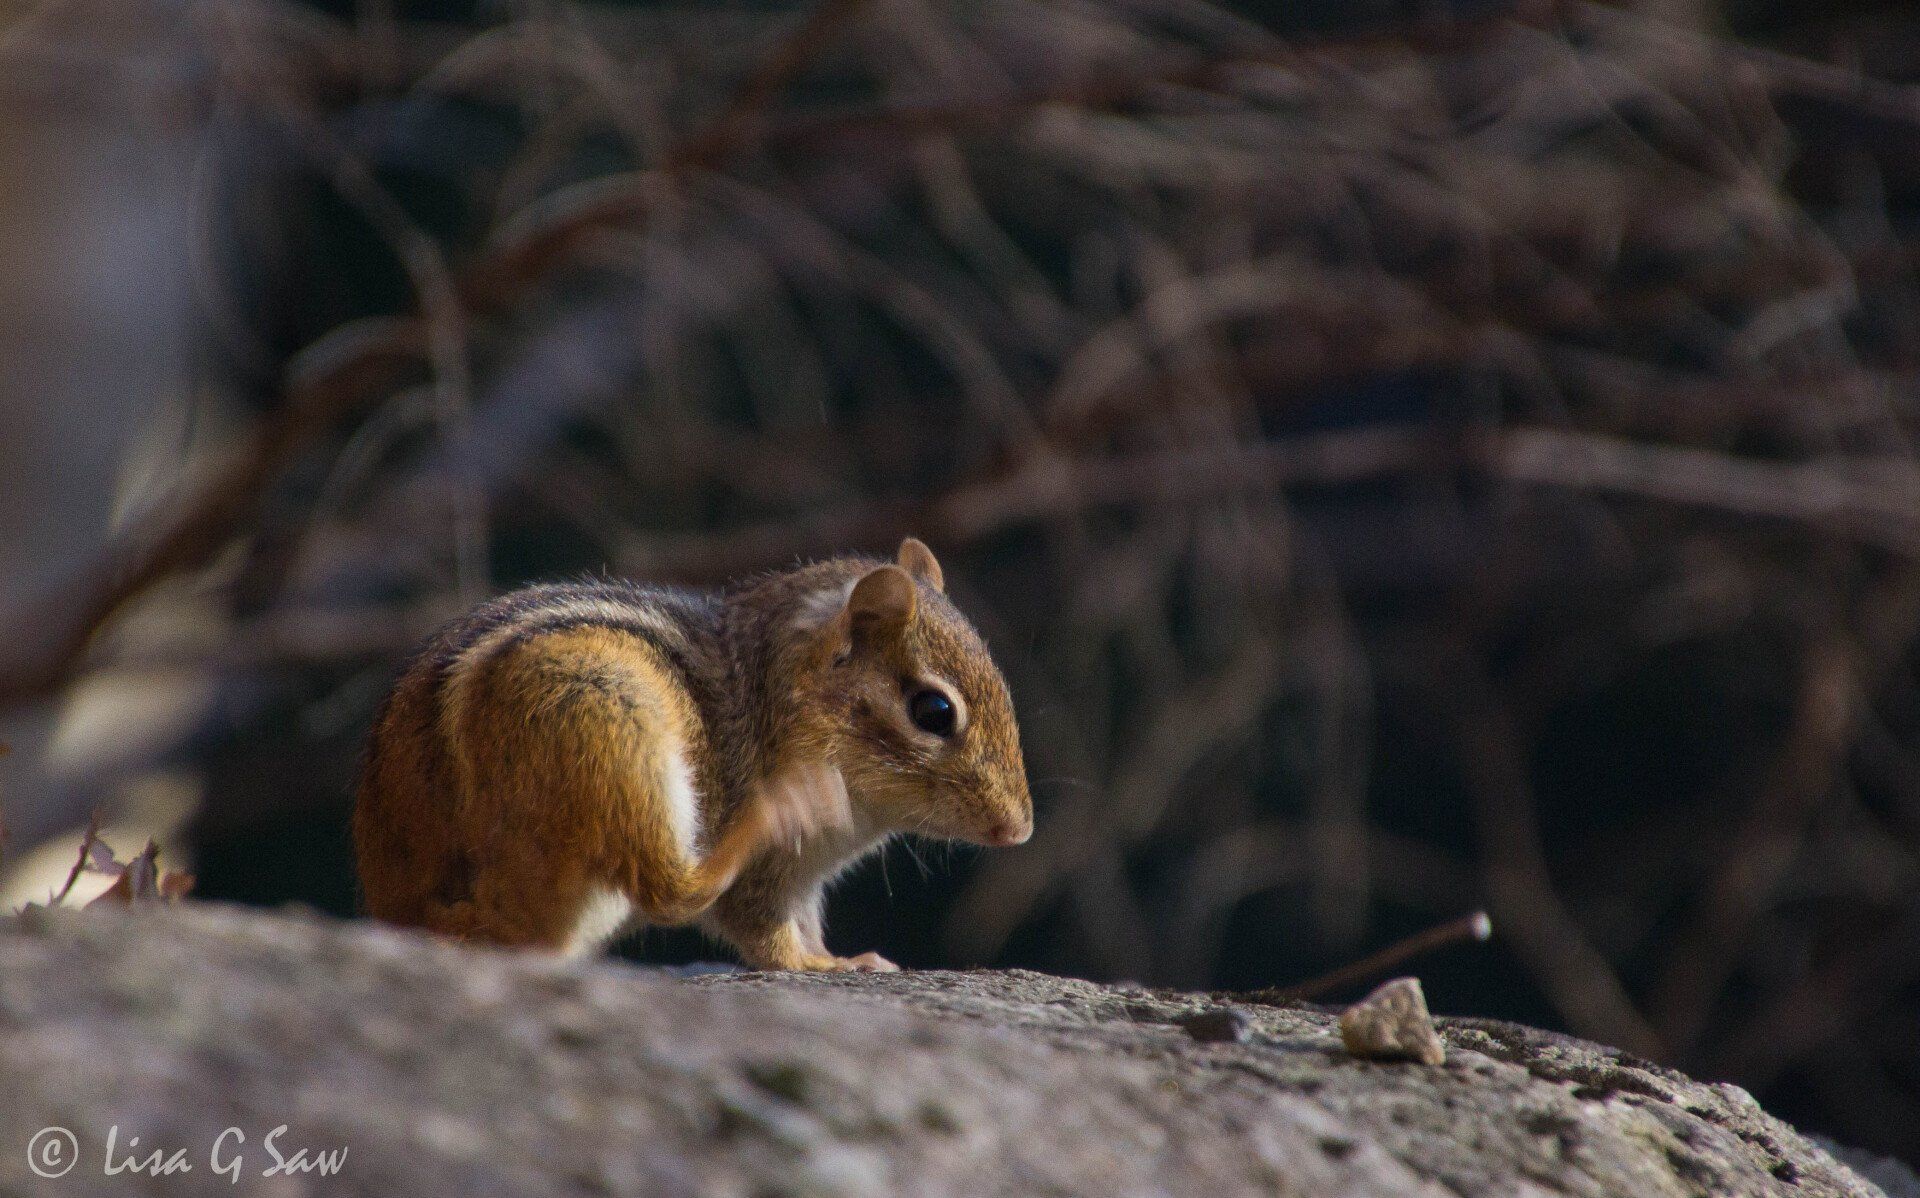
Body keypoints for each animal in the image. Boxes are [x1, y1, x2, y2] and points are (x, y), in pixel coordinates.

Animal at [352, 538, 1032, 971]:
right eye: (934, 711)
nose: (1019, 830)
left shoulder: (804, 881)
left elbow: (805, 924)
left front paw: (833, 955)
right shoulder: (771, 878)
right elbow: (767, 935)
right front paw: (828, 967)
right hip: (610, 720)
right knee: (669, 889)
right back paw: (773, 812)